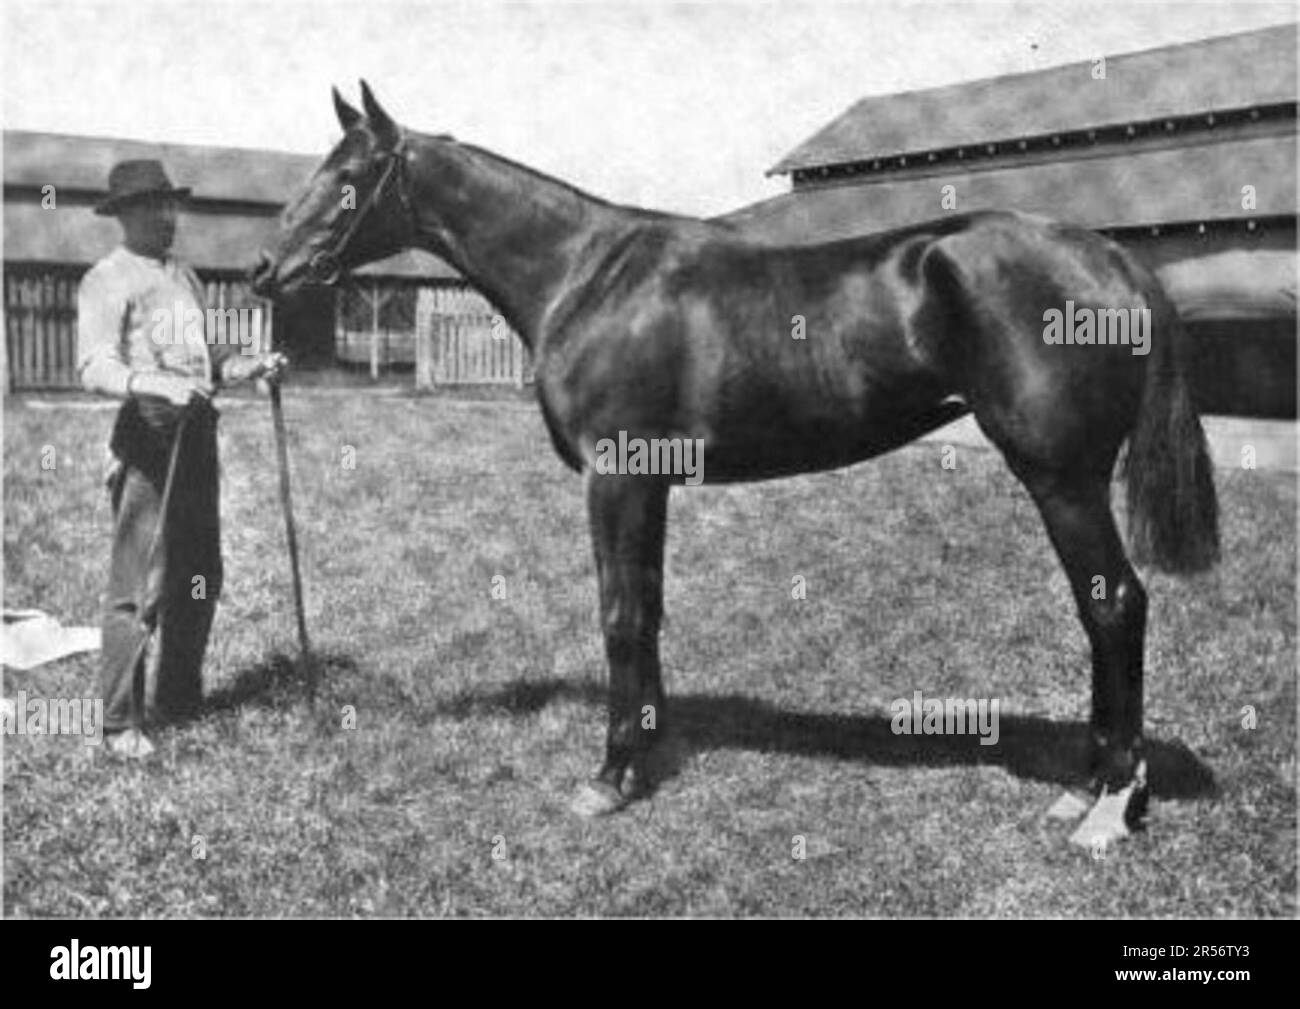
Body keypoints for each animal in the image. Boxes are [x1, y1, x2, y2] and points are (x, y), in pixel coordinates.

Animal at [250, 80, 1216, 837]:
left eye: (346, 178)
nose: (264, 270)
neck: (584, 275)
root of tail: (1109, 256)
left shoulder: (617, 476)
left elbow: (619, 614)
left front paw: (607, 779)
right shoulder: (652, 484)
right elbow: (649, 608)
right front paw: (647, 752)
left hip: (1062, 478)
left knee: (1114, 606)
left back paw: (1109, 805)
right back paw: (1088, 788)